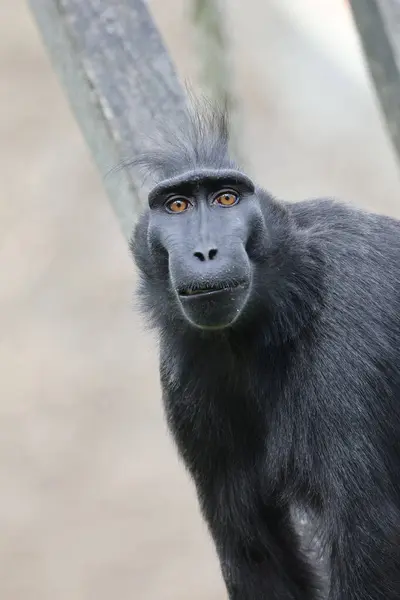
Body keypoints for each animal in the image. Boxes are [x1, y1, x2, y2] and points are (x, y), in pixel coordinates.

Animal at [130, 105, 400, 596]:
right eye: (177, 206)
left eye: (226, 199)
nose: (205, 252)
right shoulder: (184, 379)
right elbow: (251, 542)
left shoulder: (352, 327)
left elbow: (367, 532)